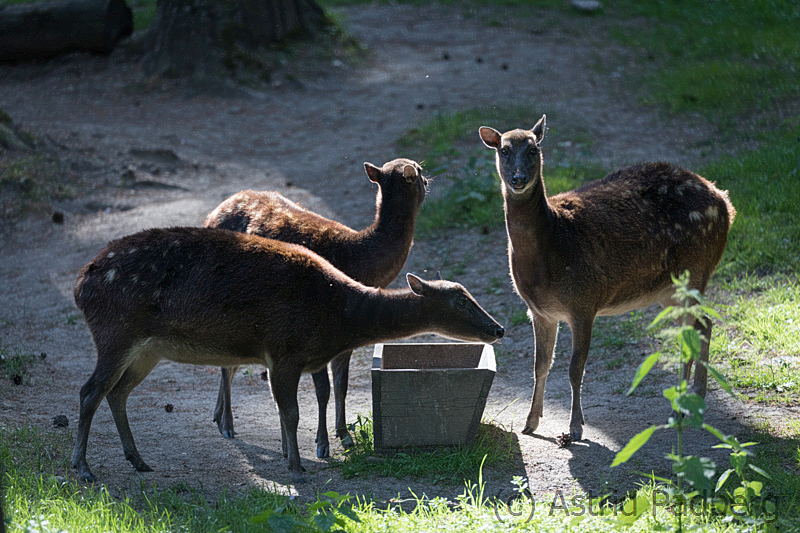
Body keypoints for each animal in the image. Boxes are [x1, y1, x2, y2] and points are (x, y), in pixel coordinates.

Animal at [71, 226, 504, 484]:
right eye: (461, 300)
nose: (498, 328)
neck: (339, 317)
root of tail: (79, 286)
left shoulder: (294, 359)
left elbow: (289, 411)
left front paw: (290, 456)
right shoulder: (283, 351)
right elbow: (291, 413)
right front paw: (297, 467)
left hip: (147, 349)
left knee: (117, 392)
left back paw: (138, 460)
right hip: (116, 331)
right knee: (89, 391)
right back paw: (83, 468)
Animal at [203, 158, 428, 458]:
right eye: (418, 171)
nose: (428, 180)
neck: (358, 260)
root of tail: (210, 215)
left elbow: (342, 385)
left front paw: (344, 435)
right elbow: (323, 390)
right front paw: (322, 444)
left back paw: (218, 415)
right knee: (227, 364)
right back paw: (227, 424)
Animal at [479, 115, 734, 441]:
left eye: (534, 149)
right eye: (504, 151)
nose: (518, 178)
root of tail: (726, 203)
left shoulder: (584, 301)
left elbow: (575, 369)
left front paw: (575, 428)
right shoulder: (539, 311)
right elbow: (540, 366)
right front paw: (531, 423)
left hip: (696, 269)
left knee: (700, 326)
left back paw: (689, 402)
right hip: (669, 290)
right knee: (698, 326)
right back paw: (685, 402)